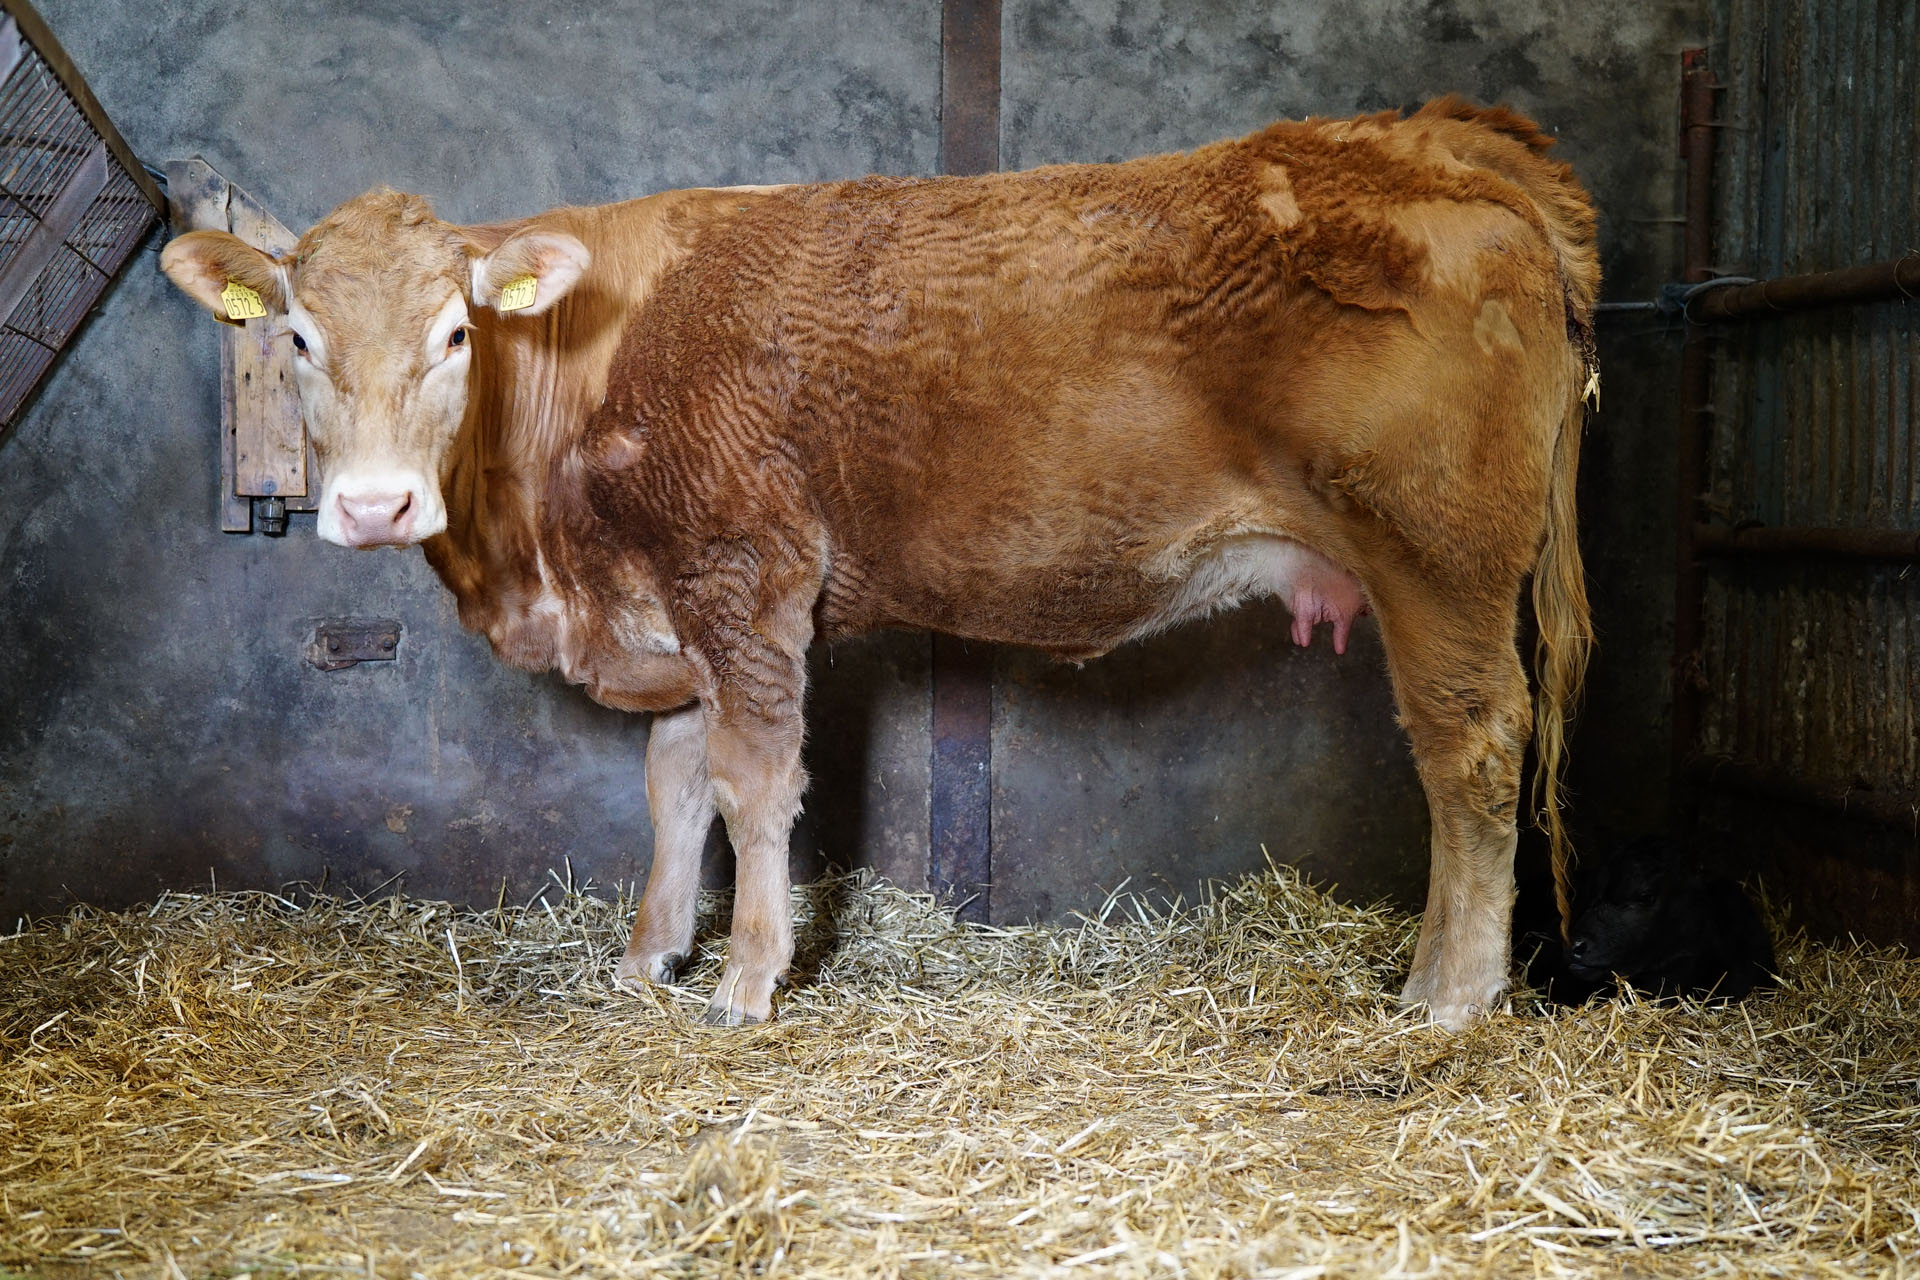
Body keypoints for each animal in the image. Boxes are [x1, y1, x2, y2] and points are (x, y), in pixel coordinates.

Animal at [161, 97, 1597, 1030]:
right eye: (293, 337)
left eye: (457, 332)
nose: (373, 505)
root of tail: (1432, 136)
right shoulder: (676, 609)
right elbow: (673, 785)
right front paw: (648, 956)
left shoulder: (746, 575)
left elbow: (751, 783)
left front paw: (748, 981)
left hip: (1439, 555)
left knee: (1470, 749)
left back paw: (1448, 999)